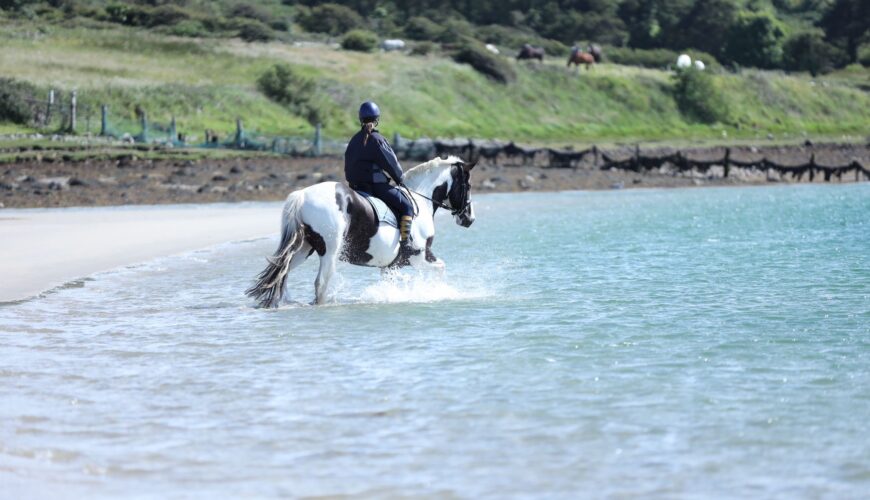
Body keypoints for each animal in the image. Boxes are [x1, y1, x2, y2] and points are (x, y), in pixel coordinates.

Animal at [245, 156, 476, 306]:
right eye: (468, 185)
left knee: (282, 273)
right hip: (329, 251)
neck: (420, 199)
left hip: (303, 249)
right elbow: (441, 269)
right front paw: (435, 292)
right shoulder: (421, 257)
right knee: (320, 283)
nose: (469, 218)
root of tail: (301, 195)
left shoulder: (390, 266)